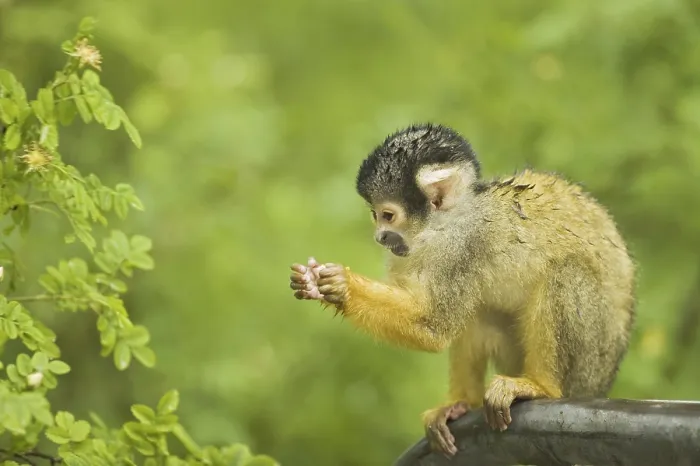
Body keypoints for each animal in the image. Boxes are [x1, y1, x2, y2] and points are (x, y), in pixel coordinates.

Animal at [289, 123, 636, 458]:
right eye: (375, 216)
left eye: (388, 215)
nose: (380, 237)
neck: (442, 226)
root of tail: (600, 383)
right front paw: (315, 284)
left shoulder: (463, 246)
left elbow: (434, 326)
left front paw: (341, 286)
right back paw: (463, 403)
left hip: (589, 361)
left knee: (564, 272)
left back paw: (541, 386)